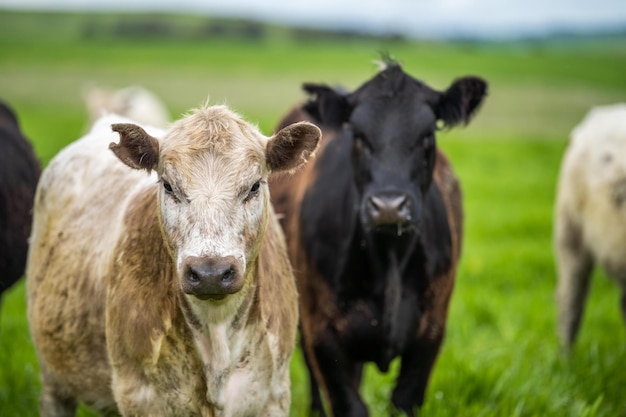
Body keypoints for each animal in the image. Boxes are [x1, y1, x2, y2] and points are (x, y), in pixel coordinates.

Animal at [26, 104, 320, 416]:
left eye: (254, 186)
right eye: (168, 185)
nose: (211, 272)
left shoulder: (274, 395)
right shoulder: (140, 397)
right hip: (52, 376)